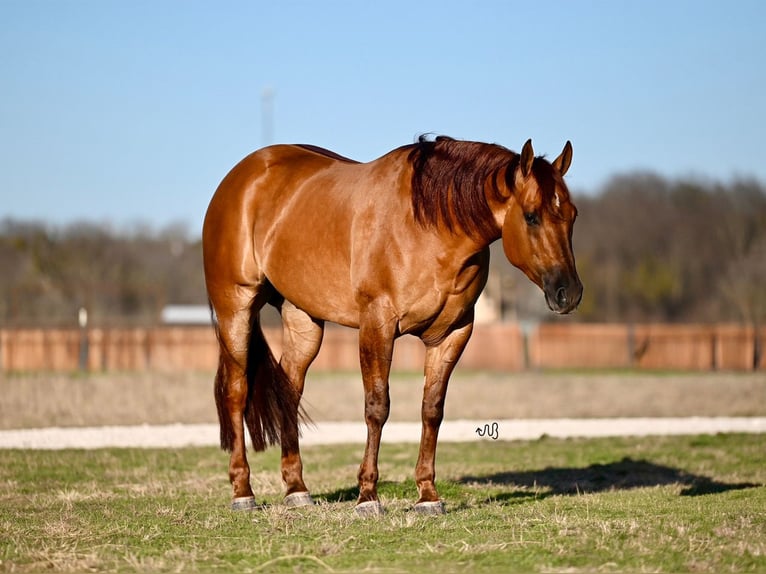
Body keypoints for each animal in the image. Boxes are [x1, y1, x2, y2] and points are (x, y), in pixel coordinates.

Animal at [201, 136, 584, 516]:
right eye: (531, 216)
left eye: (572, 215)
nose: (569, 293)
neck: (428, 227)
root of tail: (240, 178)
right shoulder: (377, 325)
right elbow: (377, 408)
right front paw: (368, 496)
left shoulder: (453, 333)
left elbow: (432, 409)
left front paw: (428, 495)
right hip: (236, 308)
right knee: (236, 392)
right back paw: (243, 492)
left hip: (302, 319)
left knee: (289, 391)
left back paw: (297, 490)